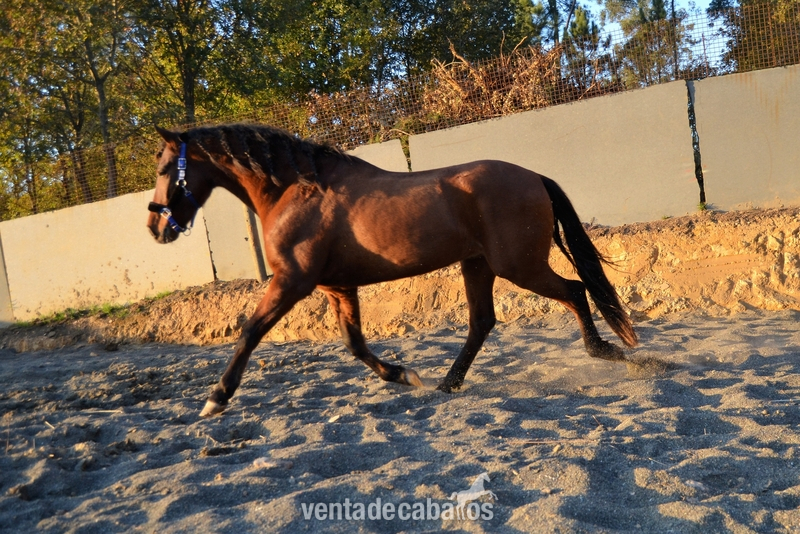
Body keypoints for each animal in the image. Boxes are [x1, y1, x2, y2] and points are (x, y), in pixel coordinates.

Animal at [147, 122, 637, 417]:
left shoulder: (292, 282)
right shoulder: (338, 288)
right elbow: (355, 345)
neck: (296, 191)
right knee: (482, 322)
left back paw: (606, 352)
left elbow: (249, 332)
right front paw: (403, 375)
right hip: (478, 264)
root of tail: (534, 176)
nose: (156, 227)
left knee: (574, 291)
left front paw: (215, 399)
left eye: (166, 167)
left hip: (518, 265)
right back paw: (446, 384)